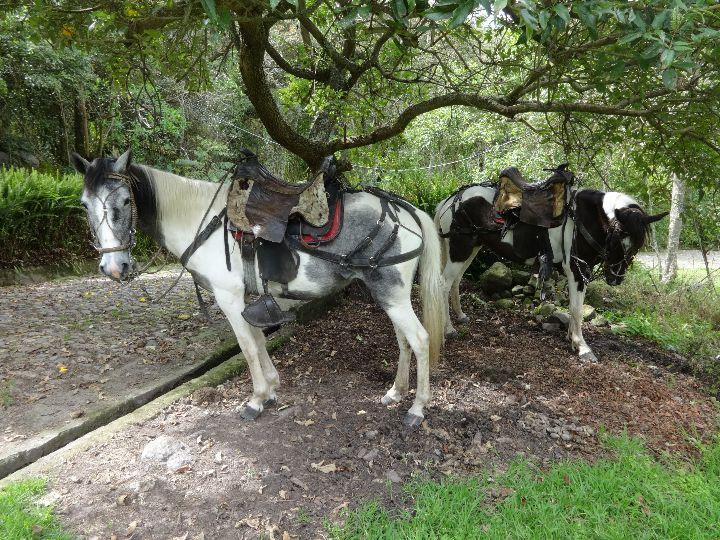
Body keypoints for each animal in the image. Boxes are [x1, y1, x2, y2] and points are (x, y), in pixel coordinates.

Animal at [71, 150, 444, 428]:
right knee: (403, 341)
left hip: (393, 295)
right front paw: (272, 389)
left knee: (420, 339)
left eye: (124, 202)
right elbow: (260, 340)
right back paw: (395, 393)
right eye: (84, 205)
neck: (201, 222)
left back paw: (417, 408)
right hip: (388, 295)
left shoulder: (229, 298)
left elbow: (248, 347)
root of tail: (406, 210)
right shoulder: (249, 300)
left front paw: (255, 400)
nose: (113, 268)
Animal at [430, 186, 668, 362]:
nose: (615, 278)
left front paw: (572, 338)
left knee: (455, 282)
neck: (582, 219)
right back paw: (448, 329)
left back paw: (460, 316)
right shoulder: (576, 271)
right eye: (616, 239)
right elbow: (577, 309)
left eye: (636, 245)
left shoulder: (581, 273)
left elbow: (574, 307)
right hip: (461, 248)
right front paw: (582, 347)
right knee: (443, 284)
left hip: (472, 248)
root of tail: (451, 200)